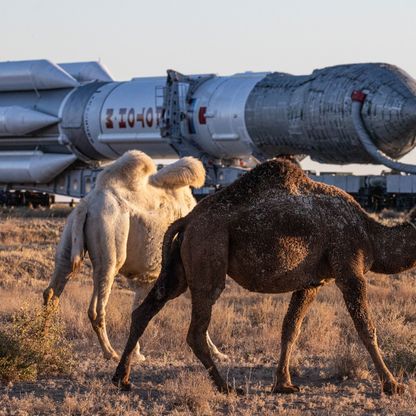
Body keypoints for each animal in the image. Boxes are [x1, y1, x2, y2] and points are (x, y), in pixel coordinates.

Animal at [43, 150, 226, 360]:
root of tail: (86, 205)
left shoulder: (147, 276)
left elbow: (138, 308)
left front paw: (135, 354)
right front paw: (217, 353)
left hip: (69, 235)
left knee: (52, 291)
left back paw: (44, 342)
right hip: (110, 242)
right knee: (96, 306)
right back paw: (110, 352)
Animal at [112, 156, 412, 394]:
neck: (371, 234)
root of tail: (186, 220)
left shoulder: (312, 282)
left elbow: (291, 328)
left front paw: (284, 384)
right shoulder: (349, 269)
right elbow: (366, 328)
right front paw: (392, 385)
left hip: (180, 264)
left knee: (147, 308)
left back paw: (121, 379)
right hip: (208, 248)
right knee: (196, 327)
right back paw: (226, 387)